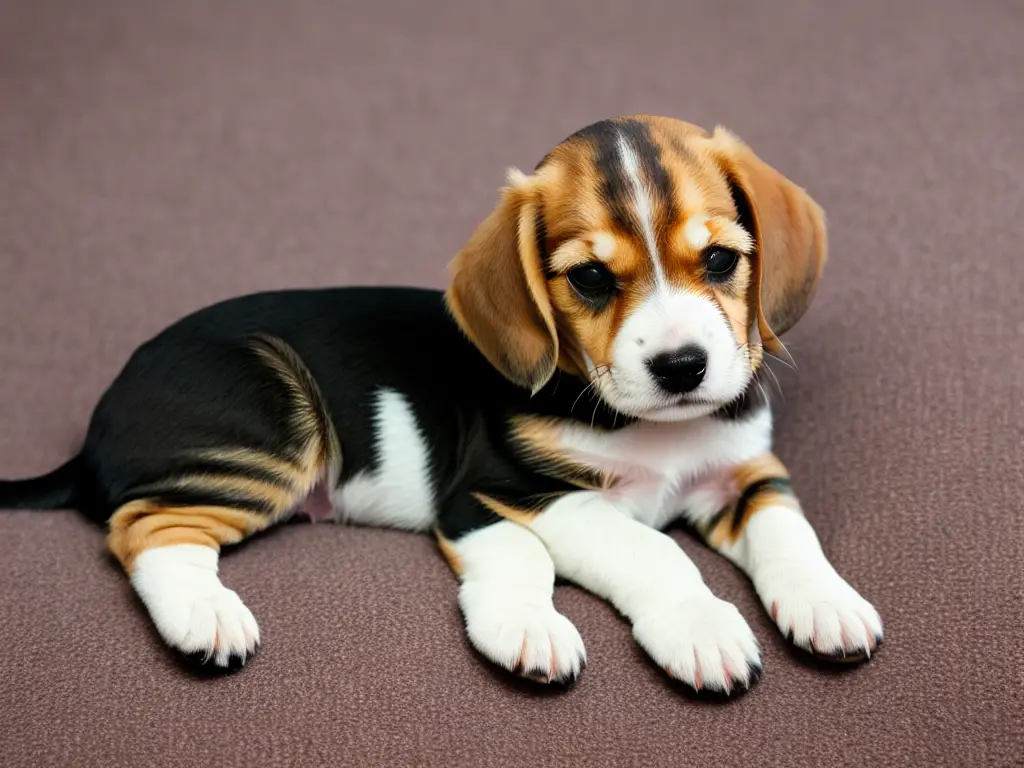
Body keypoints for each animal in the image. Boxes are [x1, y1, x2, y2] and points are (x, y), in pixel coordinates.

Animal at [0, 115, 880, 696]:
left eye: (722, 260)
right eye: (591, 278)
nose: (681, 366)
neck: (652, 432)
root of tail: (97, 422)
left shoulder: (746, 474)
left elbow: (790, 535)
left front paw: (825, 602)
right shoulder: (513, 493)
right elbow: (649, 551)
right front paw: (697, 627)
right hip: (269, 432)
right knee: (143, 527)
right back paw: (204, 615)